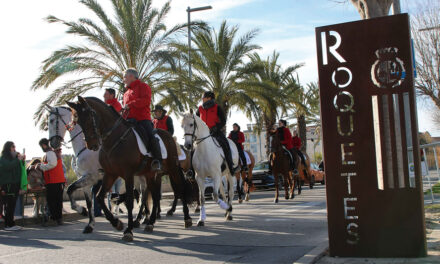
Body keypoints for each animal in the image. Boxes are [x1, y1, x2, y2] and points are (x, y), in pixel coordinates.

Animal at [67, 96, 196, 241]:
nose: (92, 145)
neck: (115, 139)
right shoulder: (110, 174)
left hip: (173, 169)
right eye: (77, 120)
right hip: (151, 174)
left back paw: (186, 218)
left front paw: (128, 230)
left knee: (180, 189)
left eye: (90, 116)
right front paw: (116, 223)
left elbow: (129, 201)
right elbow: (99, 197)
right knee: (154, 196)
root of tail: (170, 137)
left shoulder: (127, 174)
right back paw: (150, 222)